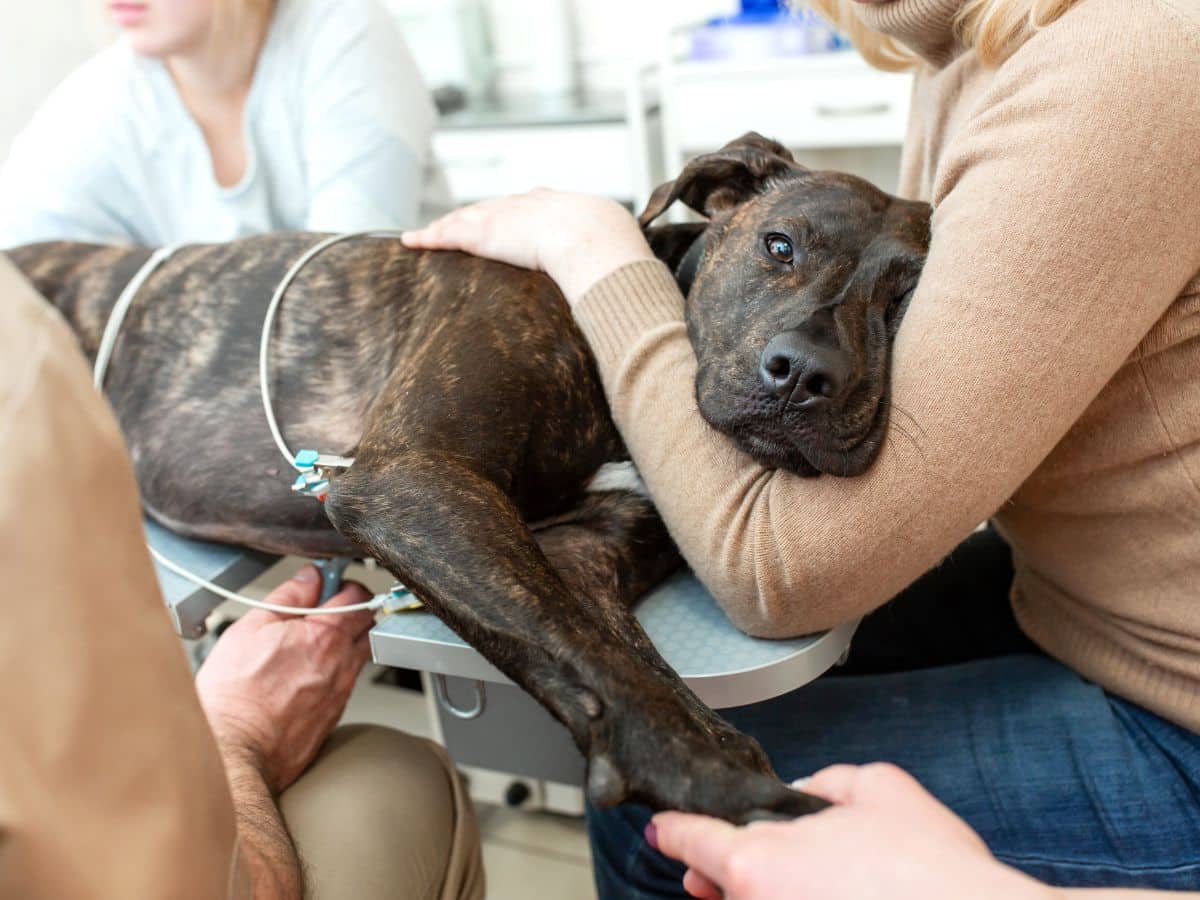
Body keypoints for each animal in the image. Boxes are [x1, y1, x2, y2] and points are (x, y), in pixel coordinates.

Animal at [4, 133, 931, 825]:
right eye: (780, 245)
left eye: (904, 300)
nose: (804, 375)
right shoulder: (413, 477)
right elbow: (599, 657)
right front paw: (715, 775)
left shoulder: (577, 555)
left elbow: (611, 656)